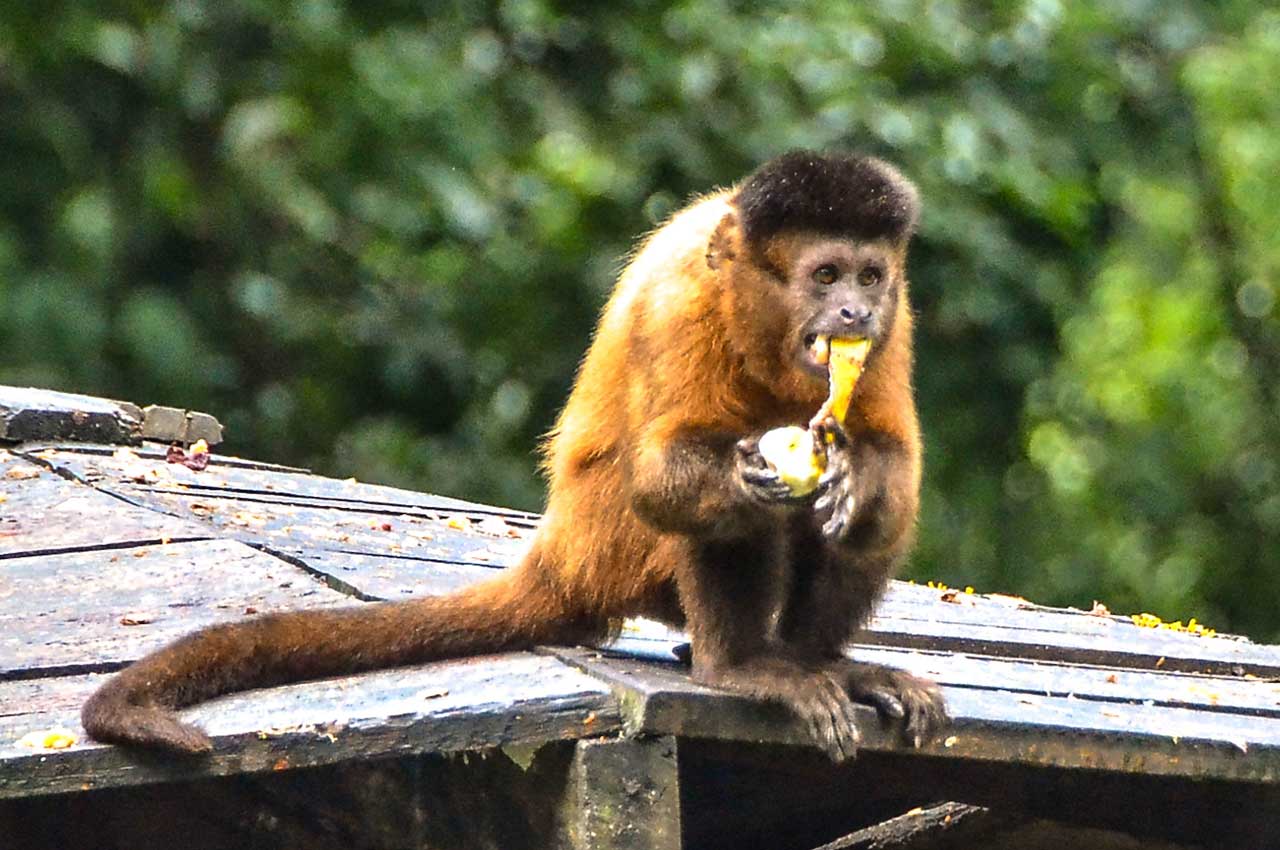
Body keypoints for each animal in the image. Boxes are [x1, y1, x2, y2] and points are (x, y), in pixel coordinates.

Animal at [80, 149, 942, 757]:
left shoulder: (897, 320)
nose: (853, 311)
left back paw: (820, 658)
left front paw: (855, 480)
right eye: (824, 274)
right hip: (613, 545)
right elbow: (663, 481)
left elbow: (890, 467)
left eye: (868, 275)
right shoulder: (682, 301)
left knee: (872, 523)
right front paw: (750, 472)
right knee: (722, 518)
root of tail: (559, 552)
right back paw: (742, 667)